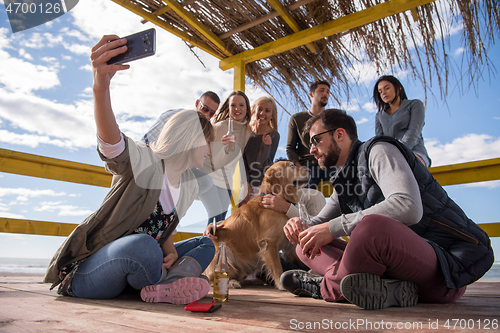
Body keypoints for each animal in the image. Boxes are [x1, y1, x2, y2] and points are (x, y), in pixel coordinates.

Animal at [203, 160, 308, 288]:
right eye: (292, 166)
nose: (310, 169)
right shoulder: (269, 242)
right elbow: (277, 268)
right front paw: (281, 284)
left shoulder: (288, 245)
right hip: (225, 252)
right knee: (212, 279)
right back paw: (232, 282)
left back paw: (254, 281)